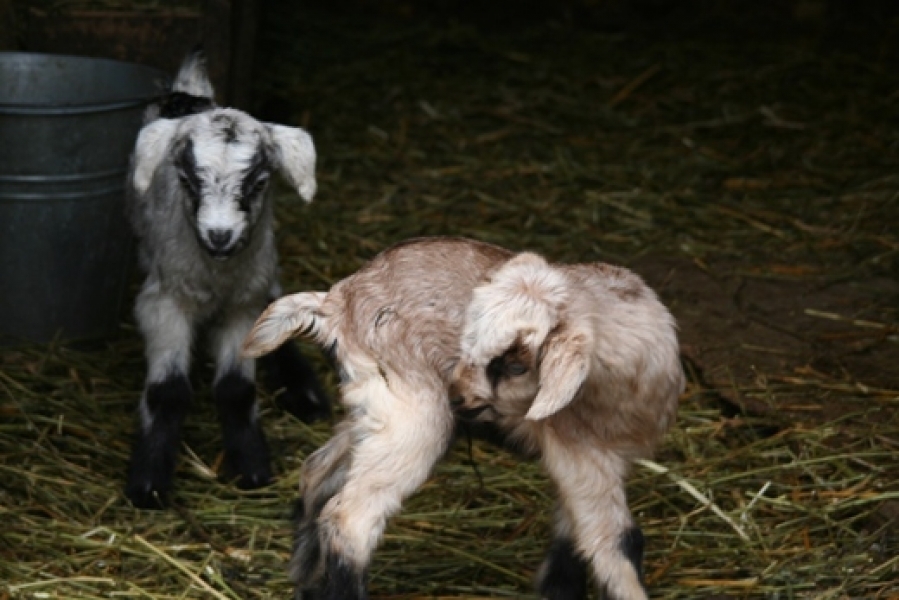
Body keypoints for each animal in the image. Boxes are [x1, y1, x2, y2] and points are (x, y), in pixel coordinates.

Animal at [122, 49, 326, 508]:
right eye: (186, 179)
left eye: (259, 182)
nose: (220, 235)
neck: (215, 274)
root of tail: (190, 95)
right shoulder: (164, 301)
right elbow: (168, 391)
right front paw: (149, 481)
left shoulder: (243, 302)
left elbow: (236, 388)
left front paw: (251, 466)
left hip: (262, 264)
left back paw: (304, 391)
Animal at [241, 237, 684, 600]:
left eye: (515, 364)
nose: (457, 396)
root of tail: (336, 301)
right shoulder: (584, 454)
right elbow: (616, 543)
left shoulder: (586, 463)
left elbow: (572, 536)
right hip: (415, 420)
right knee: (348, 520)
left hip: (373, 411)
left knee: (316, 475)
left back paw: (304, 581)